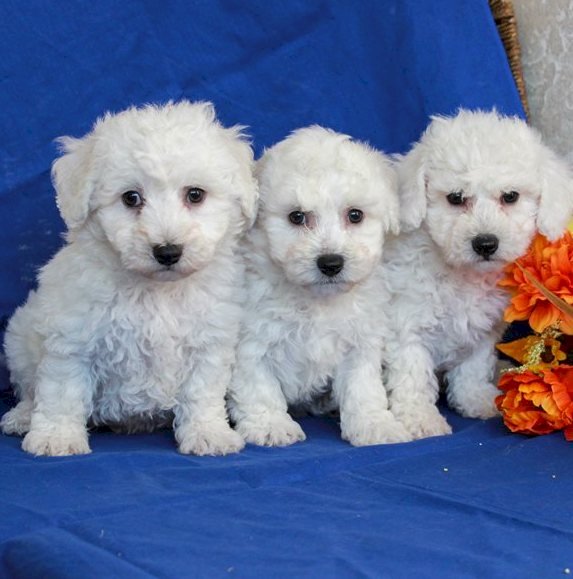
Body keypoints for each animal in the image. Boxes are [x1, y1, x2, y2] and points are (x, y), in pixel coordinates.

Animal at [1, 101, 256, 458]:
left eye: (195, 195)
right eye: (131, 198)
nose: (167, 251)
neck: (156, 292)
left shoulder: (208, 342)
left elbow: (201, 392)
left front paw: (208, 433)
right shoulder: (73, 339)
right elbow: (62, 391)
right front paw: (57, 437)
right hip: (20, 339)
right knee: (29, 390)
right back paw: (22, 416)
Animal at [229, 127, 412, 448]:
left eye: (355, 215)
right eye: (297, 216)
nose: (330, 262)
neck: (317, 300)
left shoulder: (359, 343)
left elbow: (363, 388)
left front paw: (374, 424)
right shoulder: (252, 340)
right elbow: (259, 385)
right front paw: (270, 425)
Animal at [382, 110, 573, 440]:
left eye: (510, 197)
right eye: (455, 198)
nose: (485, 243)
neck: (462, 275)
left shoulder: (482, 329)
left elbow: (472, 367)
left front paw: (475, 400)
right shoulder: (406, 326)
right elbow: (412, 376)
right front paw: (421, 419)